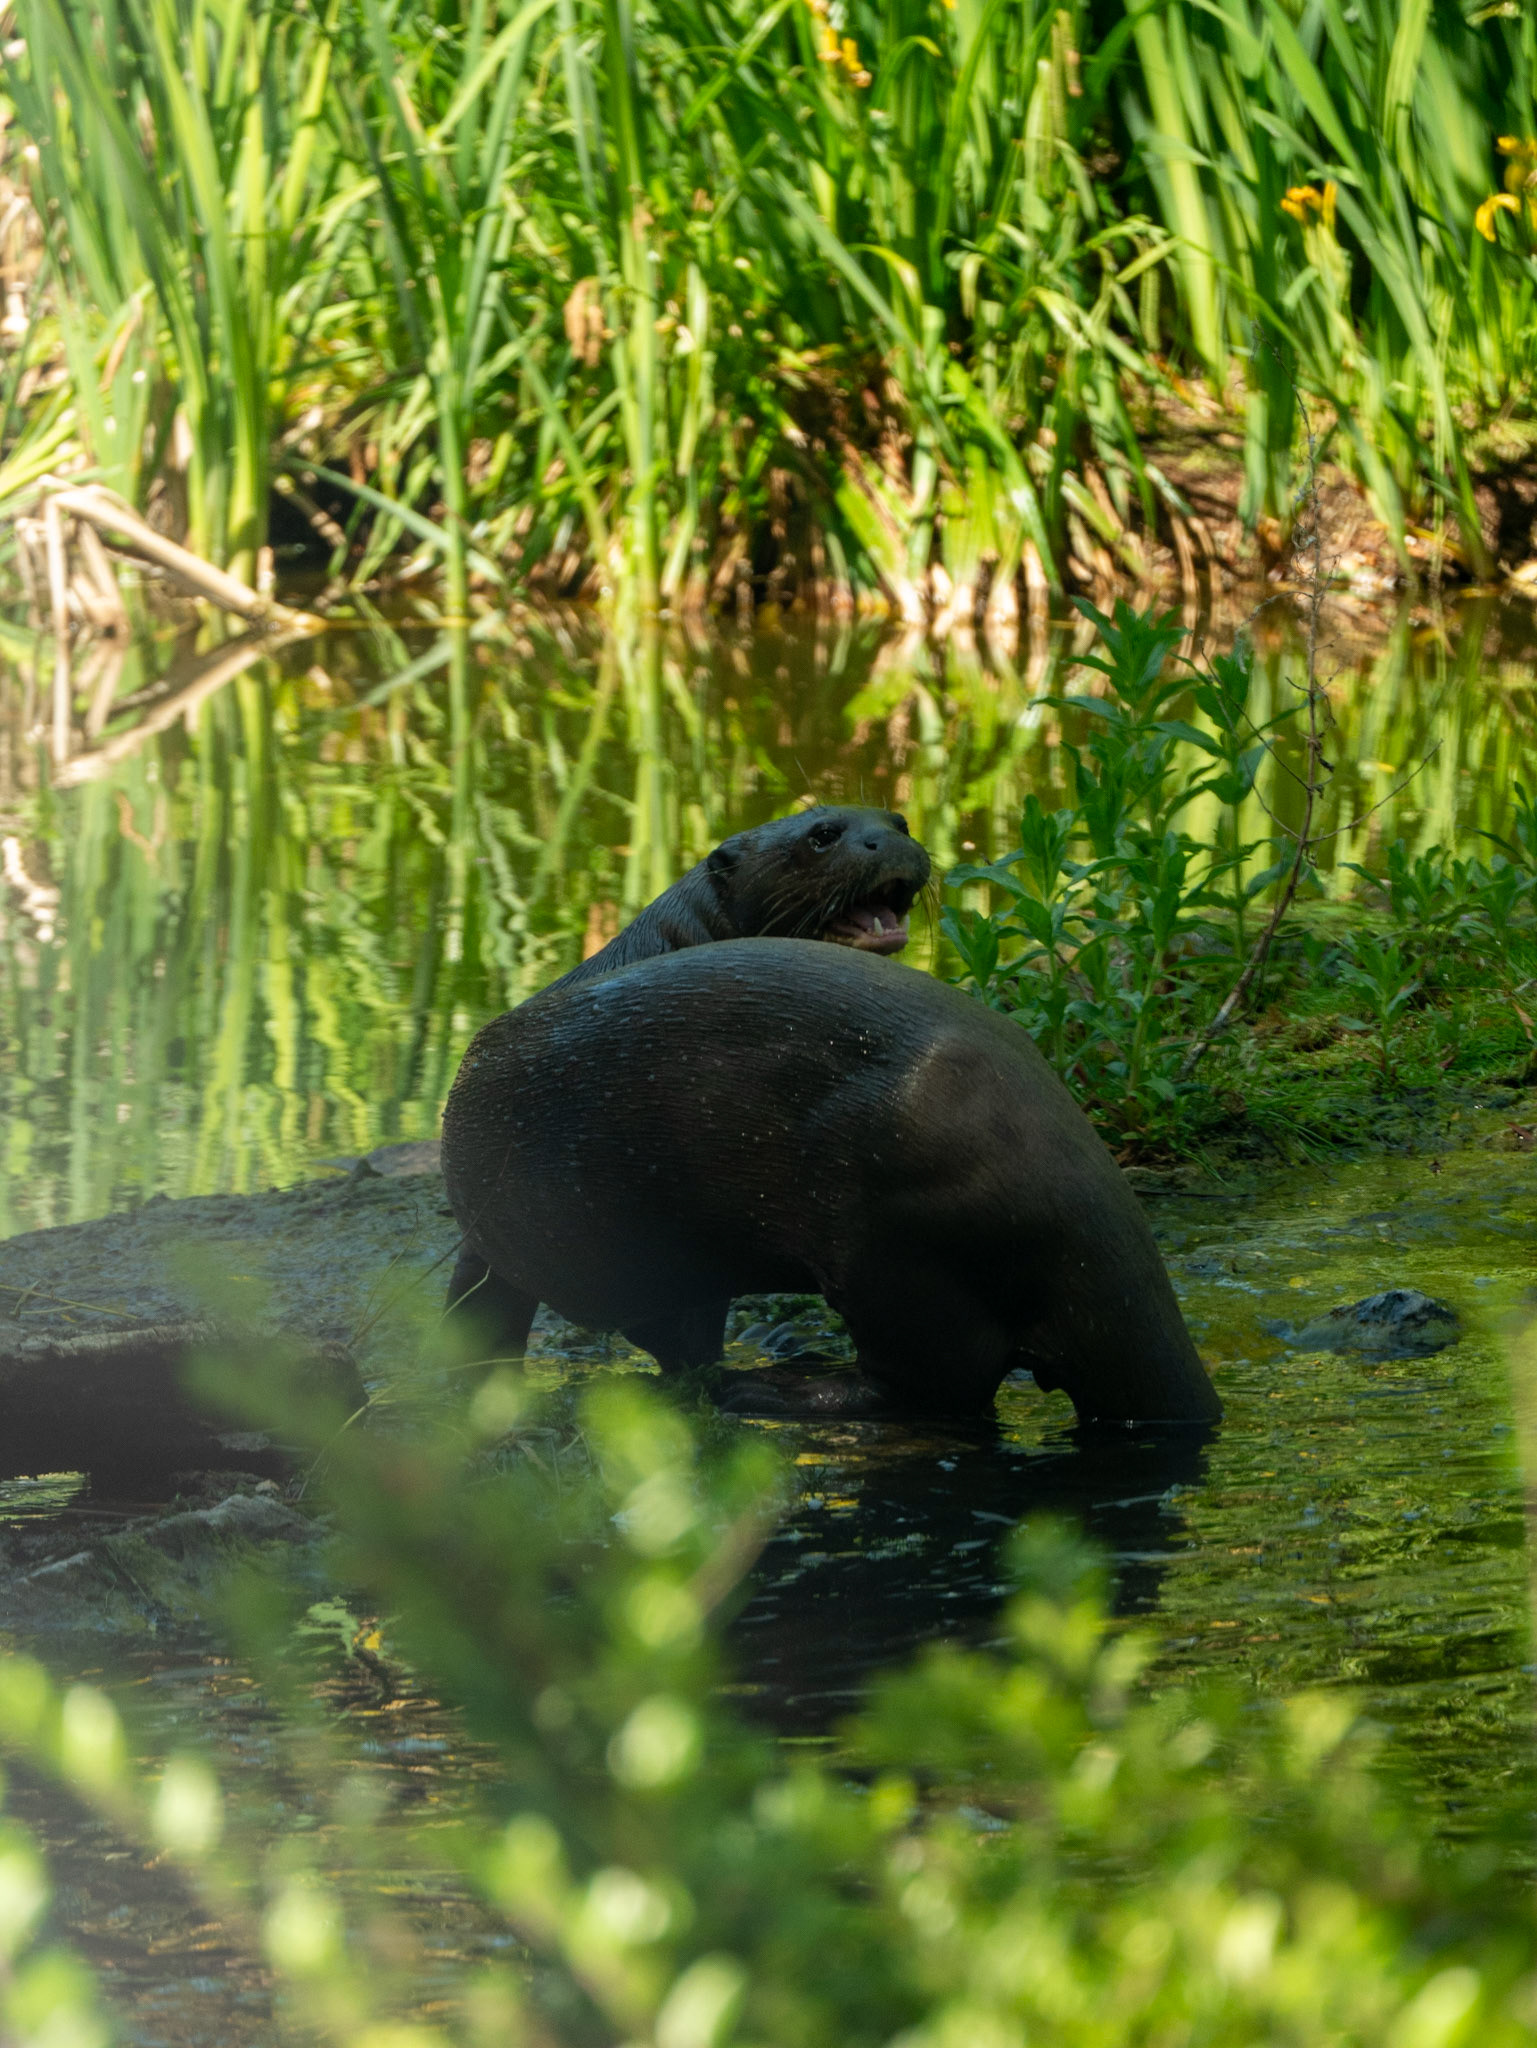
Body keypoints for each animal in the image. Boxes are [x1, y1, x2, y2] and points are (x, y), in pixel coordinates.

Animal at [440, 811, 1219, 1425]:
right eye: (822, 835)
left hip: (887, 1242)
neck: (674, 937)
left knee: (938, 1381)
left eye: (896, 820)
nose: (891, 839)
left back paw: (777, 1387)